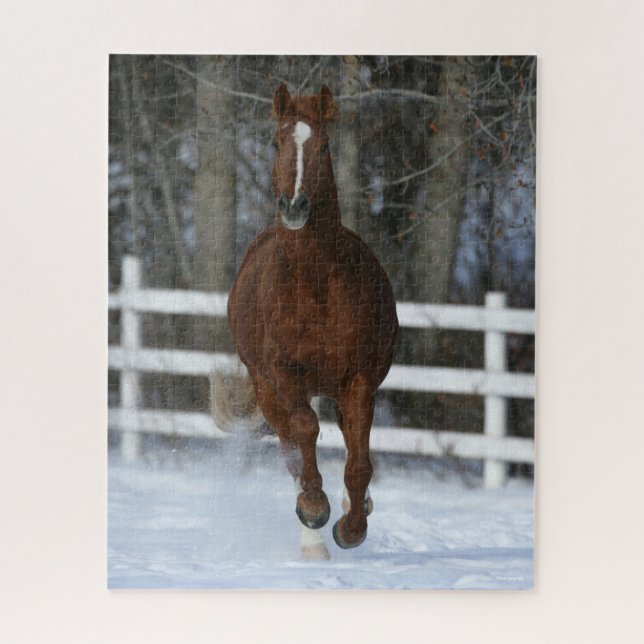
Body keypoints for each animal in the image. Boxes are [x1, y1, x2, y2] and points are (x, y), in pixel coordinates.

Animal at [212, 82, 398, 559]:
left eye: (325, 145)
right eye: (276, 142)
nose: (294, 206)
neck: (313, 287)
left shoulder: (359, 379)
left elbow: (358, 460)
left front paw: (352, 528)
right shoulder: (284, 374)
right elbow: (304, 432)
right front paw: (315, 511)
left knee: (349, 442)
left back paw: (353, 509)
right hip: (267, 390)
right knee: (292, 448)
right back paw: (312, 537)